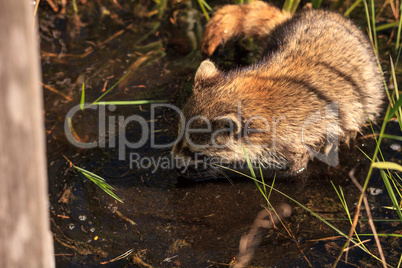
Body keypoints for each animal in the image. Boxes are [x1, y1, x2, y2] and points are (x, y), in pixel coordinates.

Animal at [172, 1, 384, 176]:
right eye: (178, 136)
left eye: (190, 150)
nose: (173, 162)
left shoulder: (294, 138)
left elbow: (290, 168)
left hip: (370, 83)